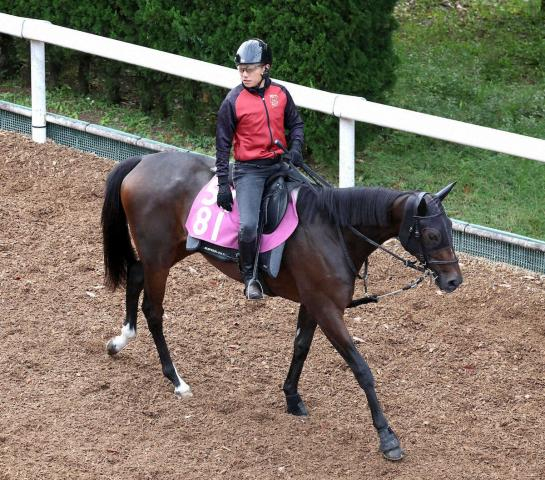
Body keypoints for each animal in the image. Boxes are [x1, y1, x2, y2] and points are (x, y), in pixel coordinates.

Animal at [101, 151, 460, 462]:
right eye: (431, 234)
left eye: (450, 231)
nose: (454, 280)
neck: (333, 230)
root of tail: (144, 160)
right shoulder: (327, 309)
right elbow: (361, 369)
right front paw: (387, 438)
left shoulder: (313, 303)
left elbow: (300, 347)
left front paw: (292, 397)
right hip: (160, 256)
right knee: (154, 311)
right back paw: (176, 379)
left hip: (171, 252)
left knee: (135, 274)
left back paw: (121, 340)